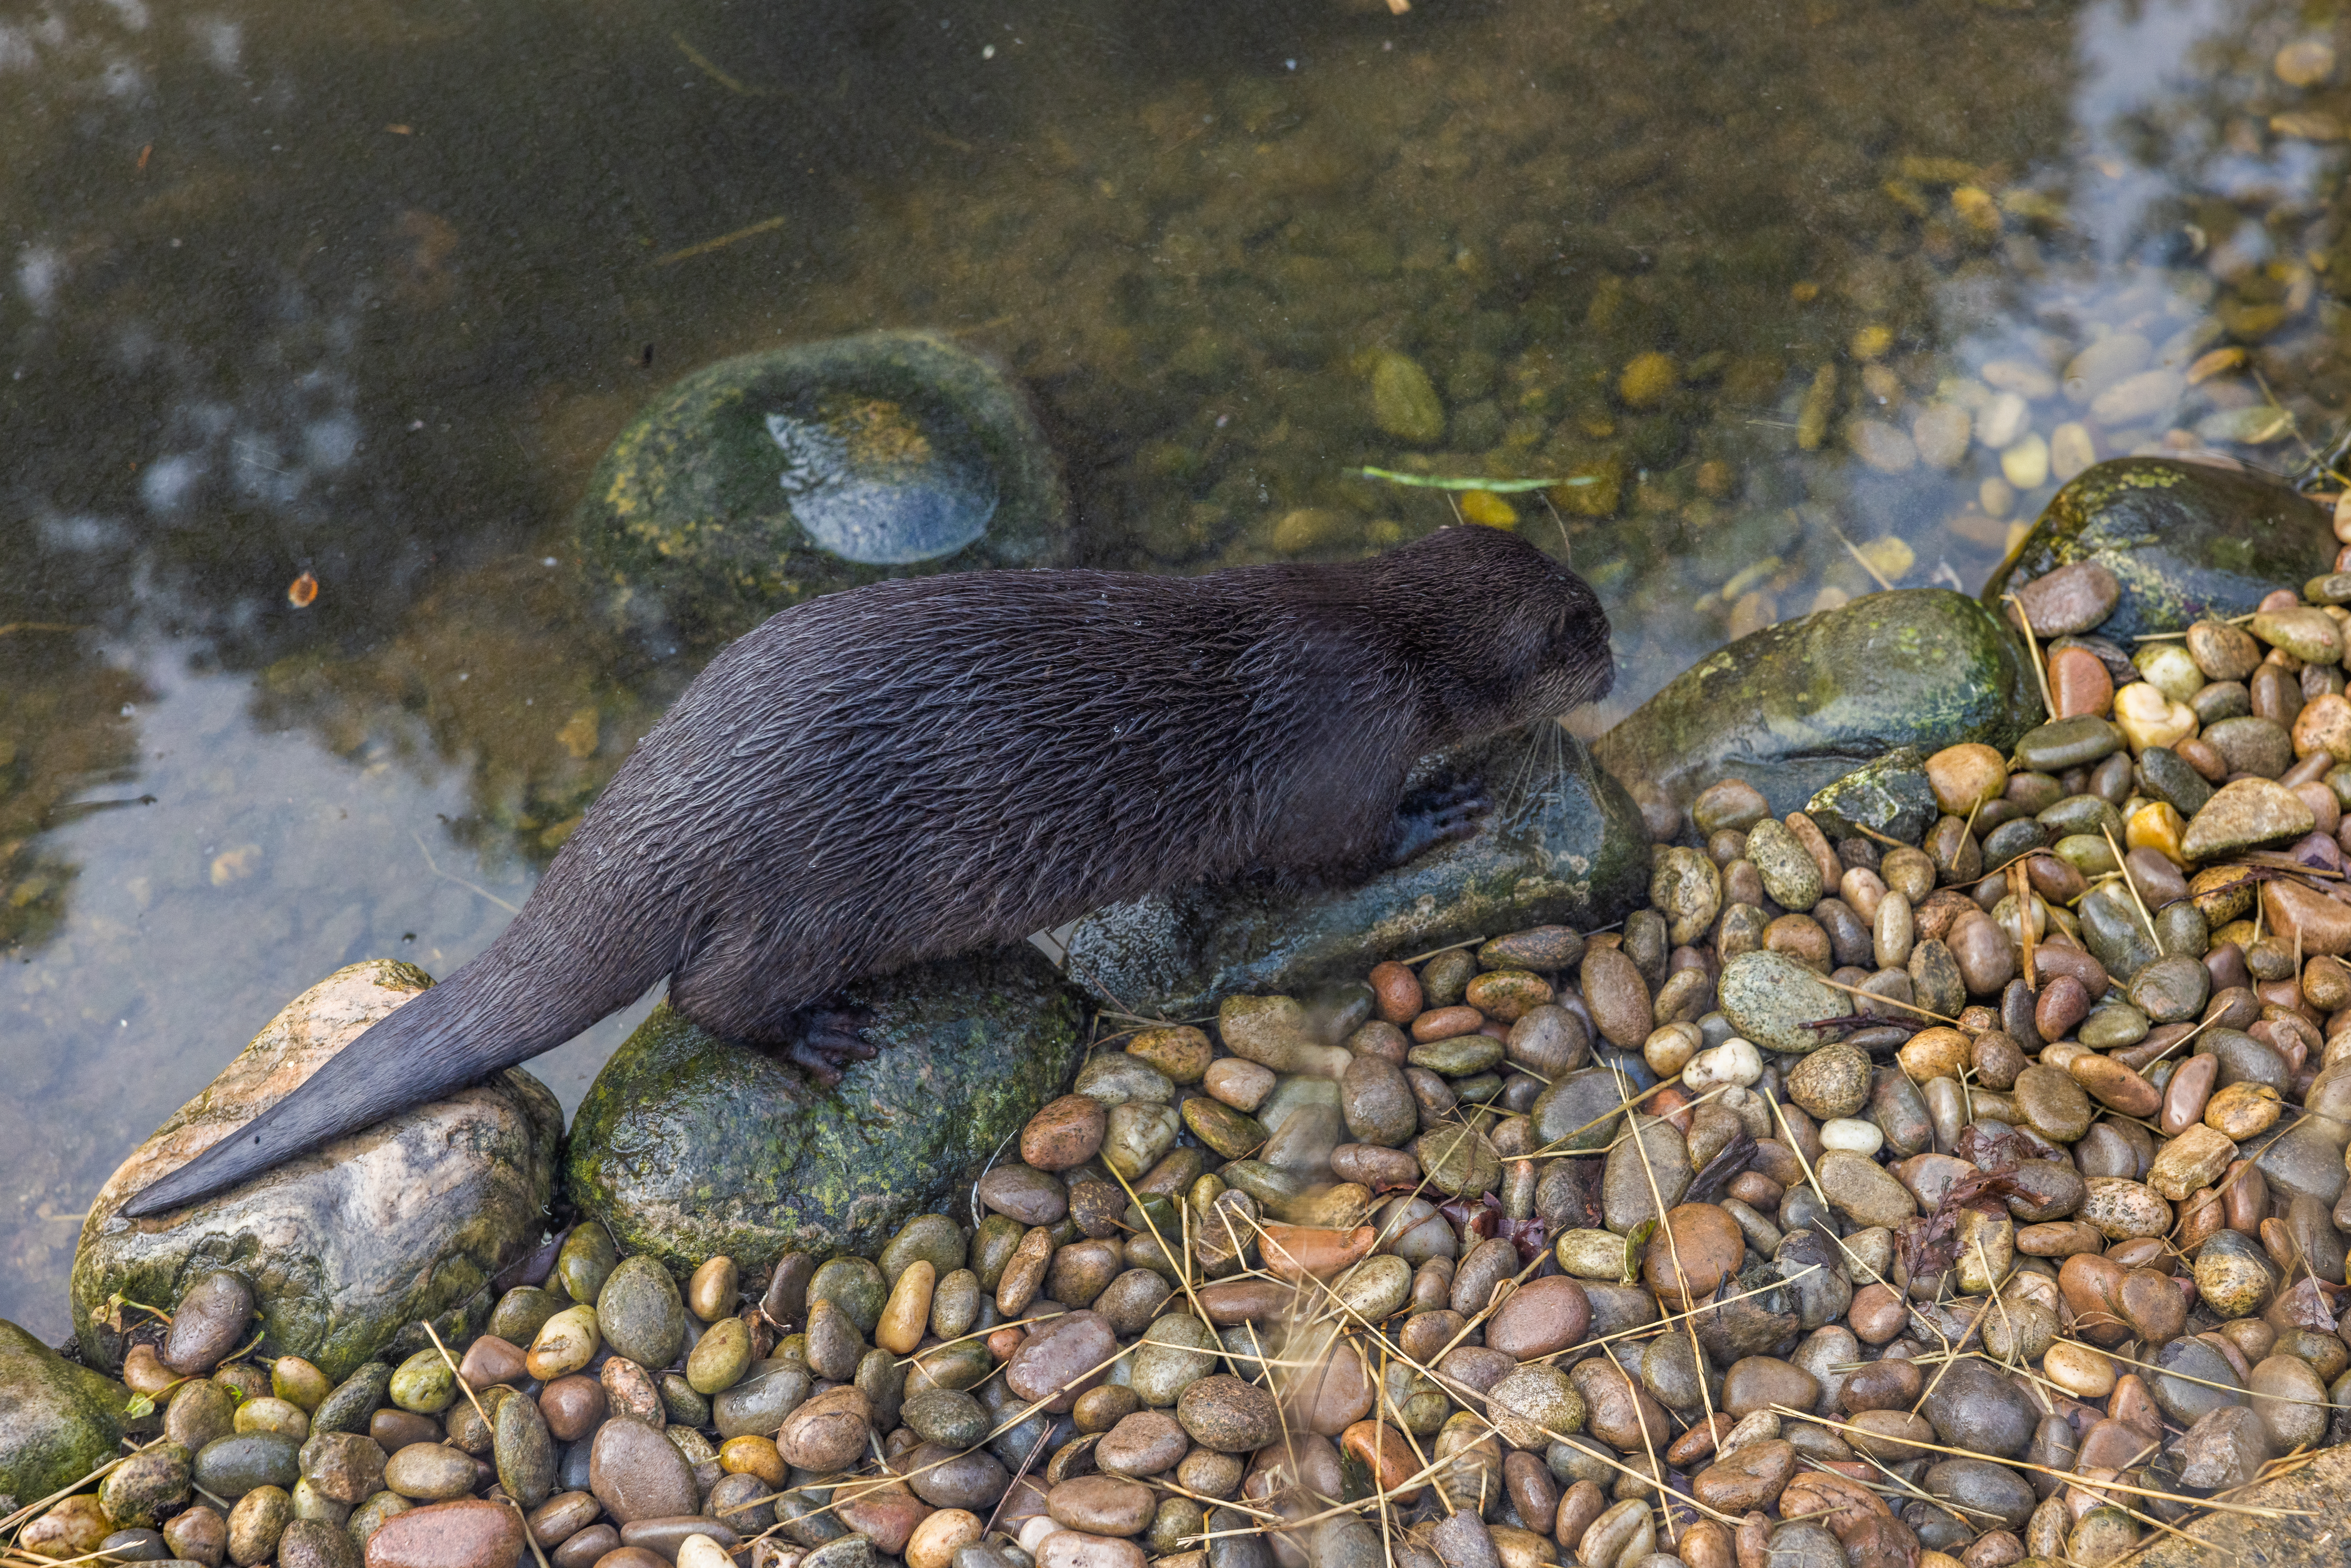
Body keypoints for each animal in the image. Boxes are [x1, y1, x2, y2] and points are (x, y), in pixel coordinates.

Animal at [122, 524, 1612, 1218]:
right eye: (1585, 631)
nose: (1613, 665)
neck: (1385, 643)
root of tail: (673, 804)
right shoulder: (1336, 752)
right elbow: (1341, 850)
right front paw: (1448, 806)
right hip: (810, 901)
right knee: (705, 998)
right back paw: (820, 1040)